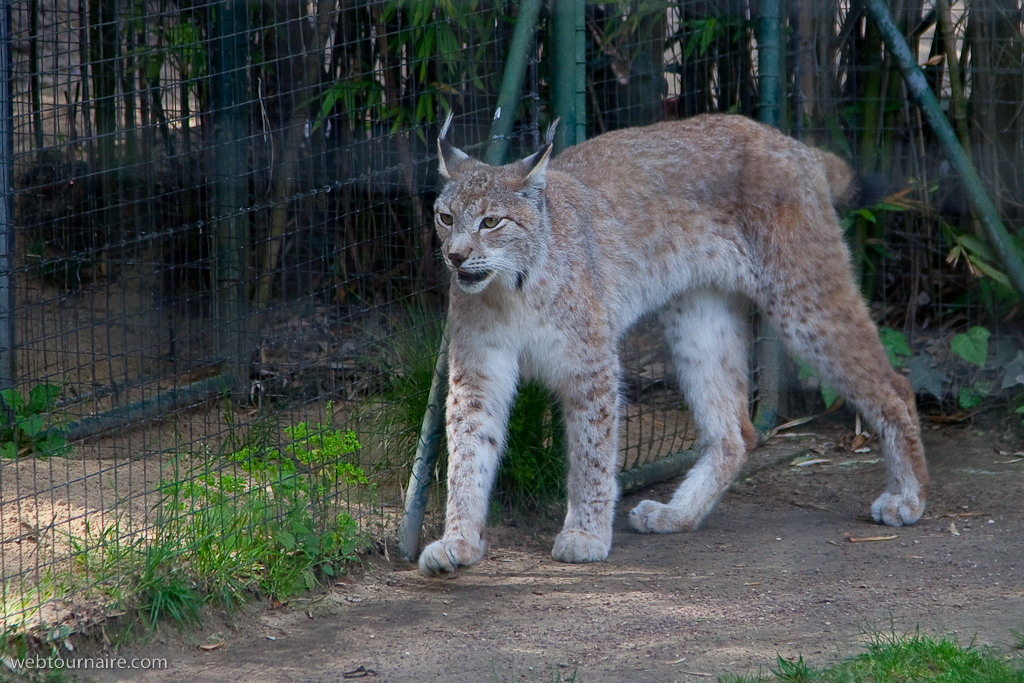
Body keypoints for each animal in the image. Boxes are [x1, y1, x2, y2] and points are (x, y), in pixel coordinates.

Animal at [418, 113, 927, 576]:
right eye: (446, 218)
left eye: (491, 222)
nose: (455, 257)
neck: (511, 288)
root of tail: (786, 140)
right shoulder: (478, 371)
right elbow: (468, 451)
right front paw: (459, 540)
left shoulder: (591, 366)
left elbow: (591, 453)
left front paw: (585, 533)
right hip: (698, 316)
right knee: (738, 433)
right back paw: (678, 514)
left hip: (801, 299)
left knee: (897, 385)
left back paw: (908, 499)